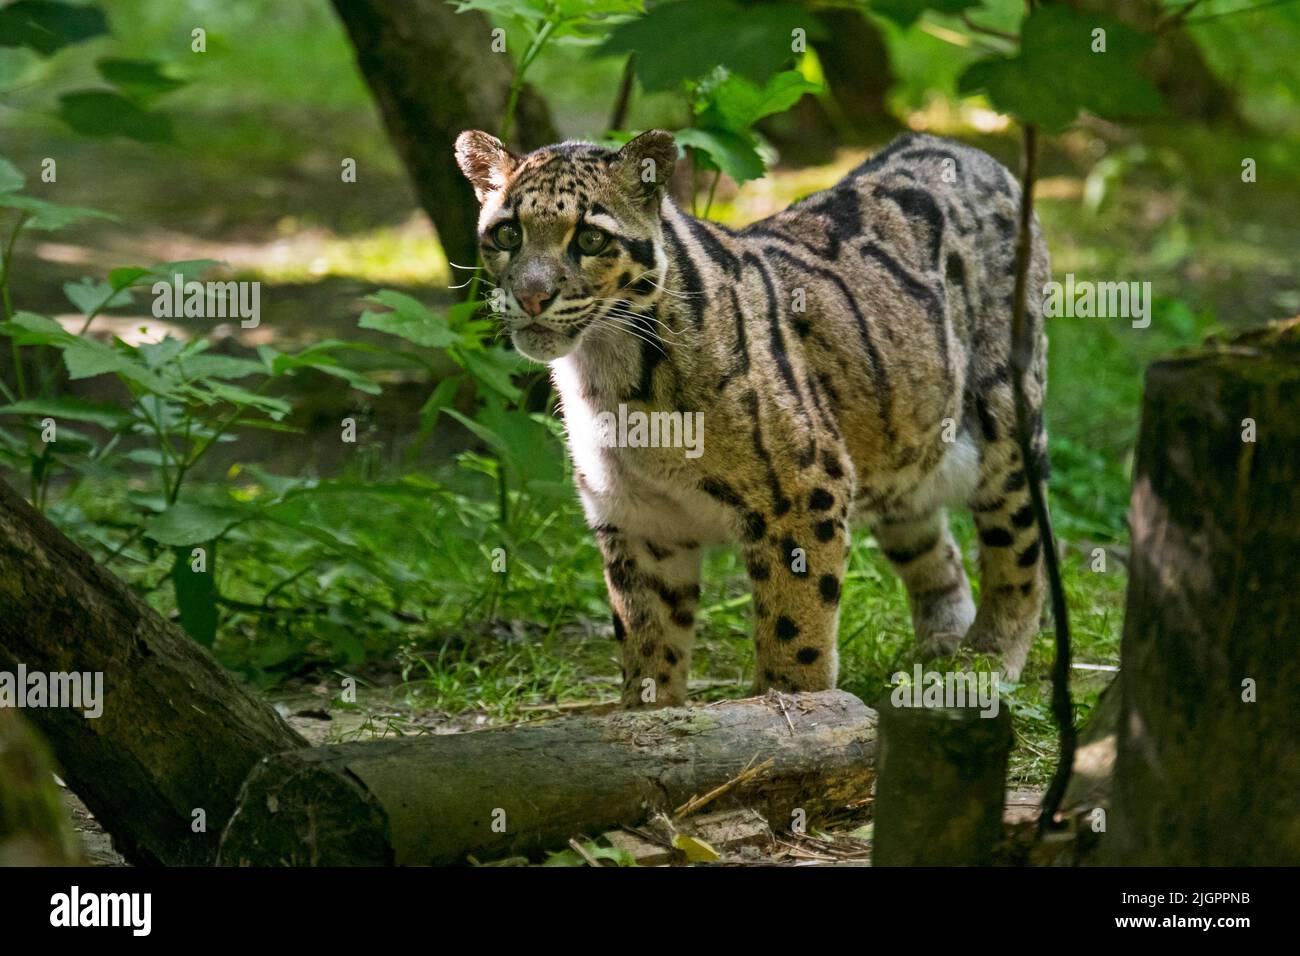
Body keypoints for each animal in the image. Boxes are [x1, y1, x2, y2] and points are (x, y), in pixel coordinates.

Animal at [454, 127, 1050, 708]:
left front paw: (796, 711)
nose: (531, 296)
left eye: (591, 239)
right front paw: (650, 715)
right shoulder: (636, 518)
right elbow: (649, 639)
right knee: (935, 545)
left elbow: (796, 627)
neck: (607, 373)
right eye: (507, 234)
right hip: (902, 444)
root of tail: (963, 148)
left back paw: (985, 661)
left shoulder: (805, 495)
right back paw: (941, 650)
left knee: (1021, 548)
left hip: (1007, 423)